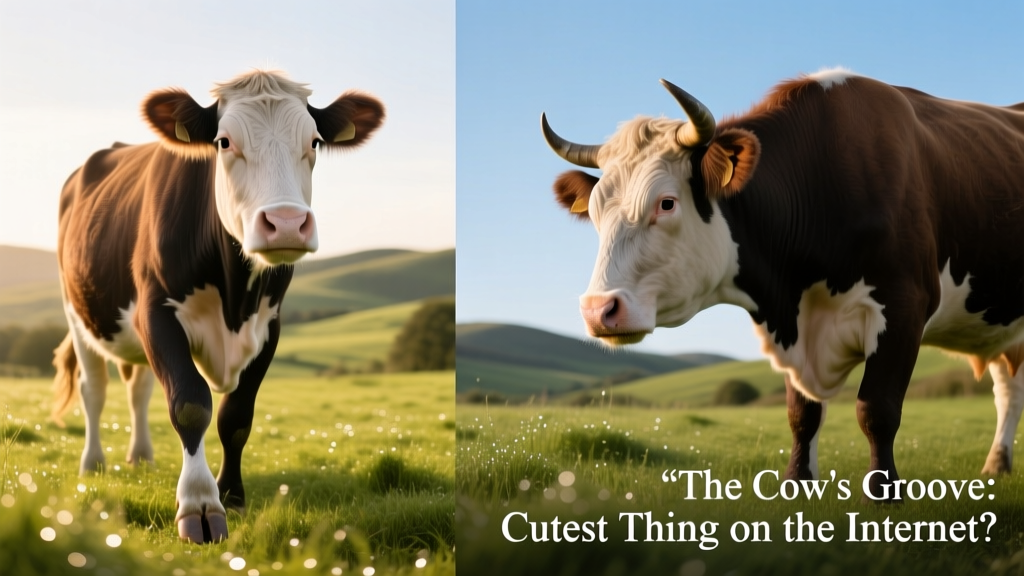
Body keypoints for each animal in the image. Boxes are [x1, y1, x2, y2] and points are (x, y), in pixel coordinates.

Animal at [52, 70, 384, 542]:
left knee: (138, 390)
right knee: (93, 389)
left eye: (315, 142)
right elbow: (190, 404)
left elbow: (236, 417)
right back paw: (94, 464)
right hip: (78, 312)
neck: (234, 296)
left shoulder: (269, 326)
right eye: (224, 142)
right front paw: (200, 505)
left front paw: (233, 494)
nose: (286, 223)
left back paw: (141, 456)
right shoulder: (157, 314)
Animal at [541, 68, 1024, 499]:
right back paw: (996, 466)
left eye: (666, 203)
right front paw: (798, 485)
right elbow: (802, 414)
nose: (598, 309)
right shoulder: (792, 319)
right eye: (596, 212)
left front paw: (883, 496)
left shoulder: (905, 305)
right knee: (1008, 392)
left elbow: (877, 409)